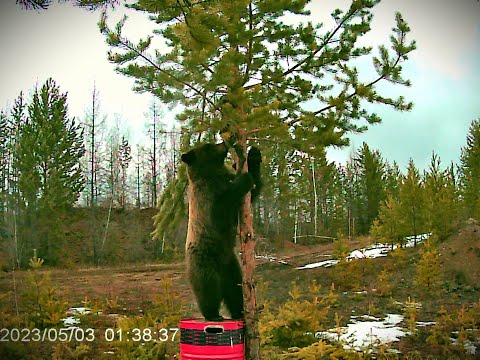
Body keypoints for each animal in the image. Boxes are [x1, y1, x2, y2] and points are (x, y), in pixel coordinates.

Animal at [181, 142, 262, 320]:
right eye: (208, 146)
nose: (224, 143)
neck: (213, 175)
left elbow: (250, 196)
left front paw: (254, 156)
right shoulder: (206, 200)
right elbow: (222, 208)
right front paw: (244, 179)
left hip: (231, 266)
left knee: (235, 289)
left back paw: (239, 311)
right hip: (205, 260)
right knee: (208, 288)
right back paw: (213, 314)